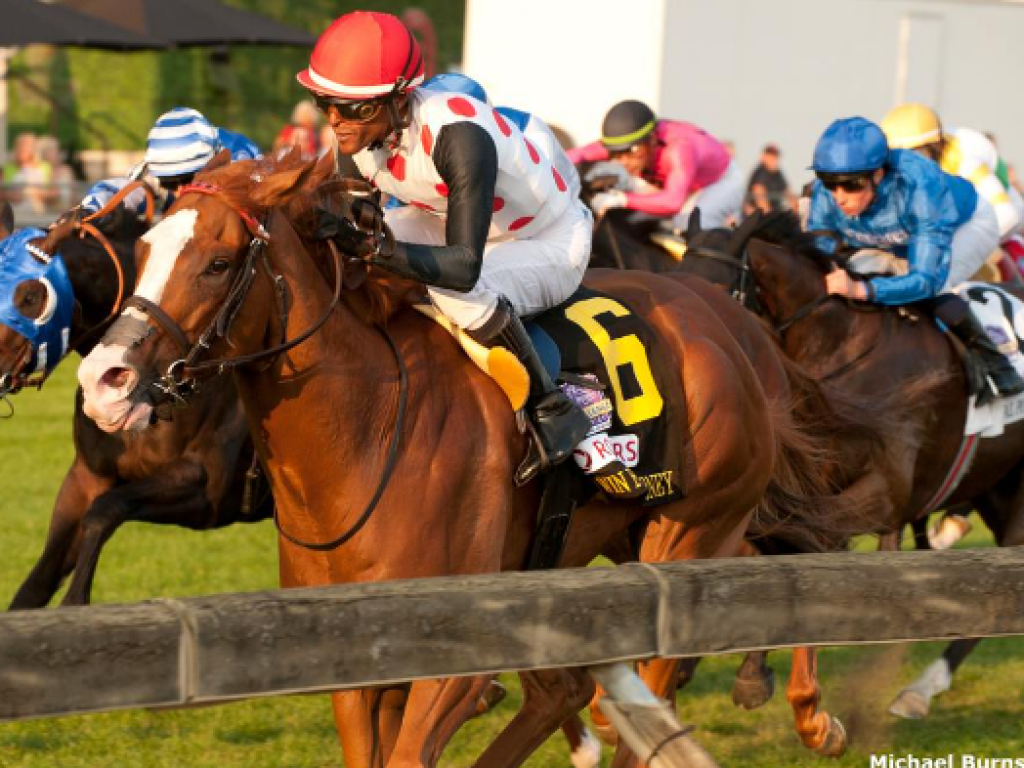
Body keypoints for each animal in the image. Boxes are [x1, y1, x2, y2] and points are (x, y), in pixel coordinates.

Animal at [0, 201, 272, 610]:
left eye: (30, 297)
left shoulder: (205, 488)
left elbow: (104, 511)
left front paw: (76, 599)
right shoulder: (86, 478)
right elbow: (35, 585)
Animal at [75, 154, 868, 768]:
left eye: (216, 264)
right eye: (140, 253)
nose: (103, 380)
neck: (364, 432)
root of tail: (739, 332)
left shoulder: (451, 655)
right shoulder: (350, 655)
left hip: (689, 537)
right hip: (609, 536)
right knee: (571, 688)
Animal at [679, 210, 1024, 720]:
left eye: (720, 290)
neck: (839, 351)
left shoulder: (881, 496)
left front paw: (751, 675)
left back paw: (918, 691)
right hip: (996, 488)